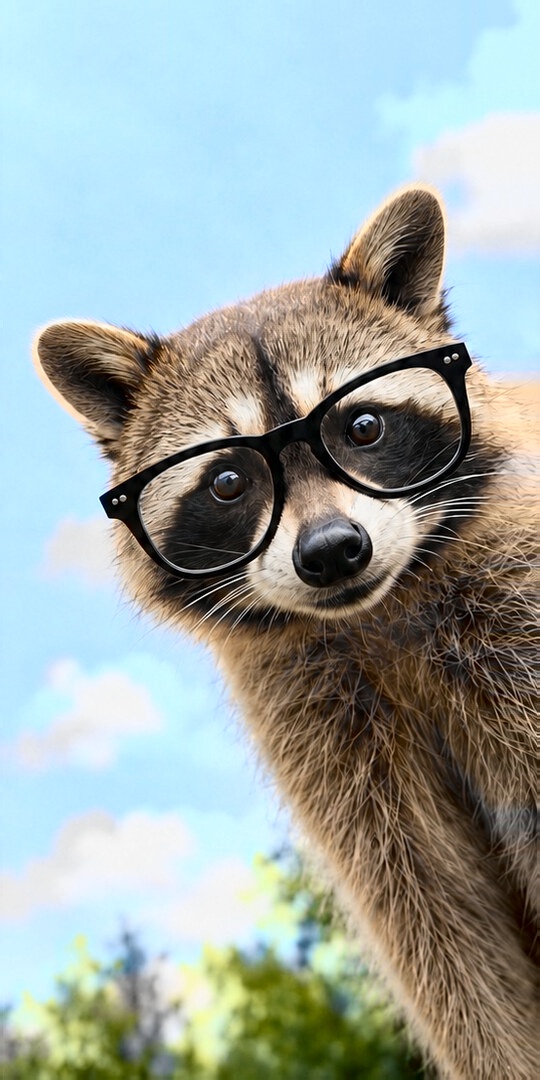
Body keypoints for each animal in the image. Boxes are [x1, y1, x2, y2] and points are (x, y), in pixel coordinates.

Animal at [34, 187, 538, 1079]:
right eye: (229, 481)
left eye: (363, 427)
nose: (332, 551)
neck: (374, 616)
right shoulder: (324, 737)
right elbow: (434, 923)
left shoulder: (516, 616)